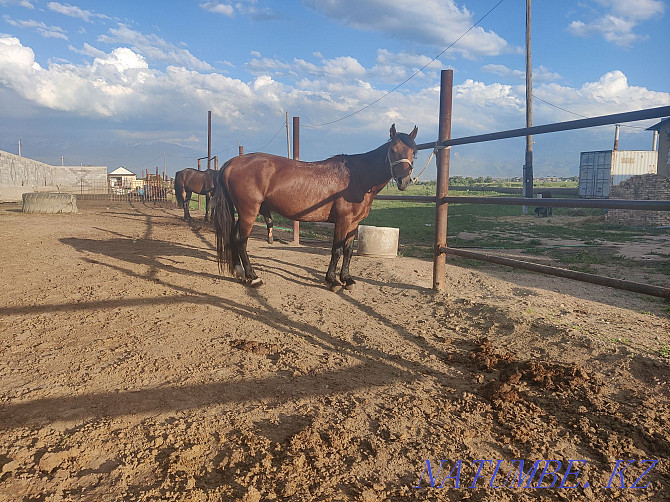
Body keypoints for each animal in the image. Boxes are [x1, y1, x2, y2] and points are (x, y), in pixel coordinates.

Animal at [213, 124, 418, 290]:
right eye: (392, 149)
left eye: (414, 152)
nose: (405, 180)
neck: (356, 177)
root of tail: (232, 162)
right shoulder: (343, 221)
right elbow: (336, 249)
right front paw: (333, 281)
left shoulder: (354, 223)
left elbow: (348, 250)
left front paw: (347, 279)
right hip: (249, 211)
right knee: (241, 240)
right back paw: (253, 277)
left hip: (242, 212)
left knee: (233, 237)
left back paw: (239, 272)